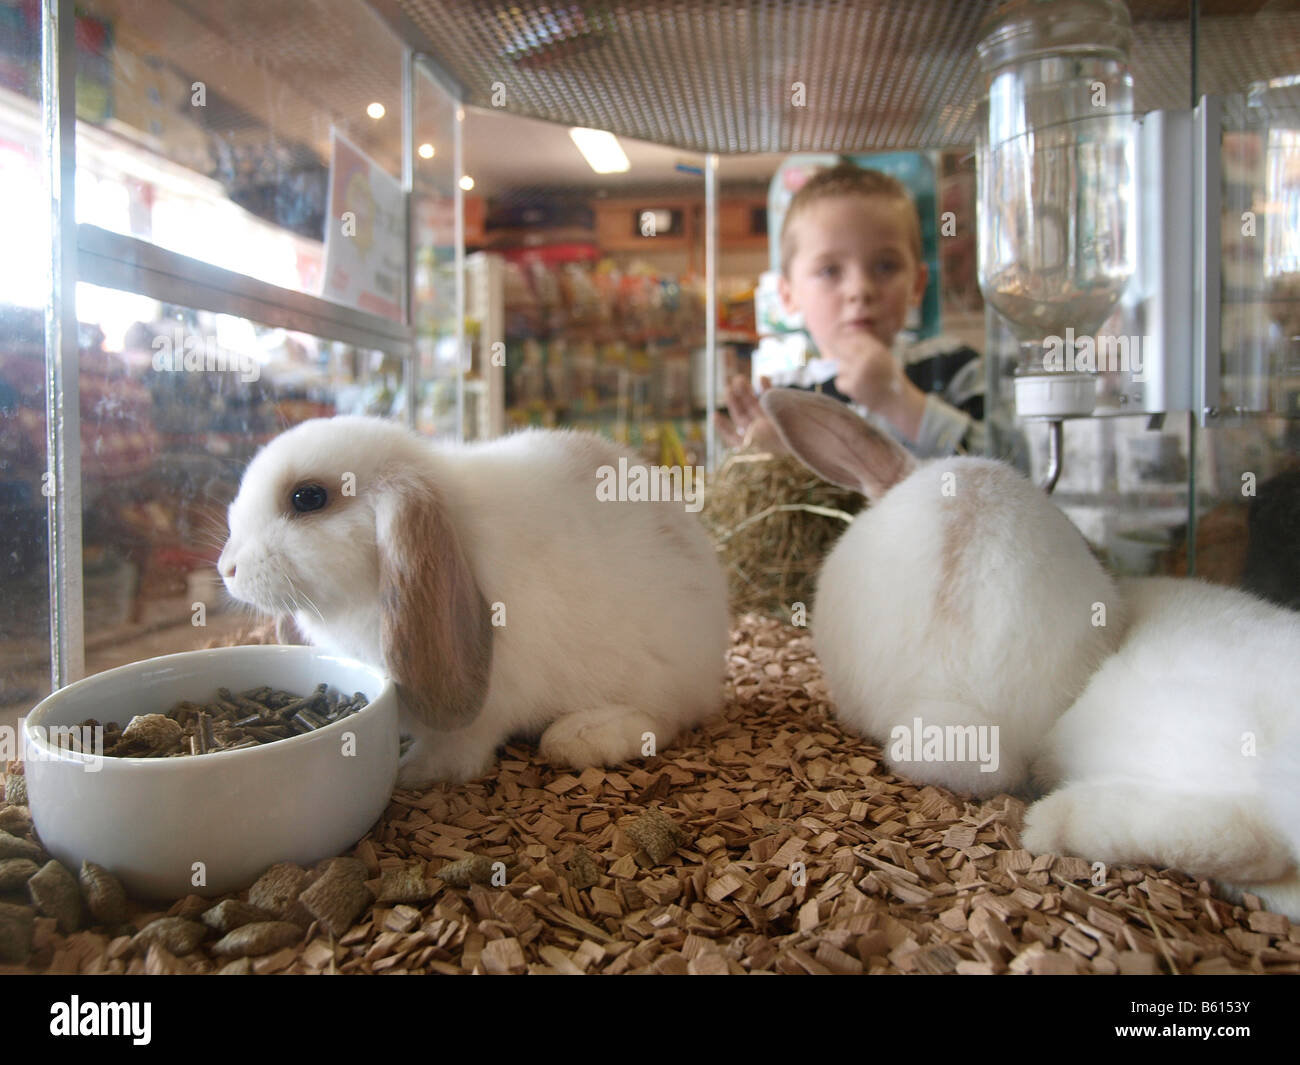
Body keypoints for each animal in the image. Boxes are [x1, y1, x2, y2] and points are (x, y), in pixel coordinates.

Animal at [222, 413, 733, 785]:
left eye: (308, 497)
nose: (226, 569)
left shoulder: (483, 711)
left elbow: (457, 750)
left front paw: (412, 773)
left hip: (657, 676)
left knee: (666, 718)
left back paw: (582, 735)